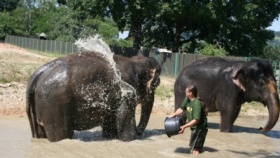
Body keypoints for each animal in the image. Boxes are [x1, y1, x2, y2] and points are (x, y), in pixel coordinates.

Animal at [27, 51, 162, 142]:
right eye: (157, 84)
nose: (140, 132)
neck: (136, 62)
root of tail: (40, 71)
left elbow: (110, 126)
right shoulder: (127, 92)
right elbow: (125, 127)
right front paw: (132, 138)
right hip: (55, 106)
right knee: (62, 134)